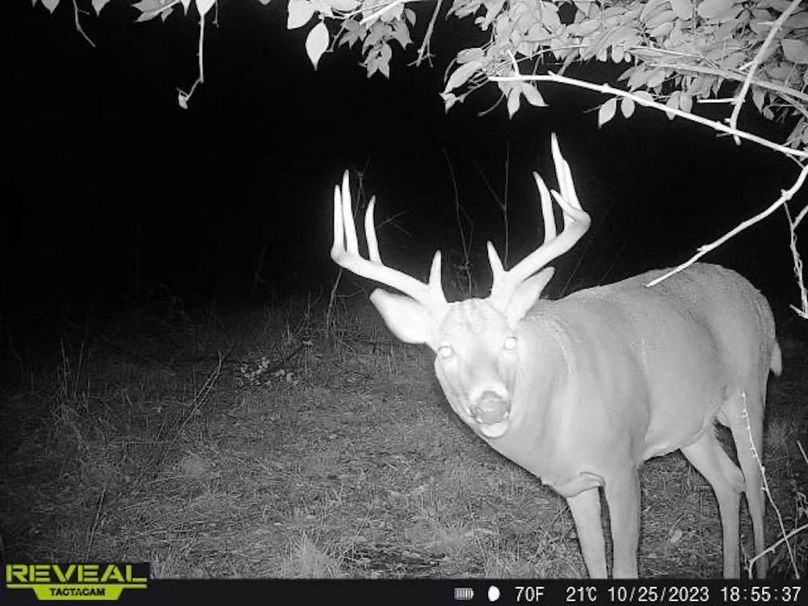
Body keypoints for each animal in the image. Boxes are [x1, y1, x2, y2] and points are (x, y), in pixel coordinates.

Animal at [329, 135, 780, 578]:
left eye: (509, 341)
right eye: (445, 350)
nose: (491, 406)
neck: (558, 426)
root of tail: (759, 299)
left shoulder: (622, 464)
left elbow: (624, 568)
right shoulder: (574, 484)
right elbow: (594, 562)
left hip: (748, 392)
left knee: (757, 484)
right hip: (690, 425)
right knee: (729, 481)